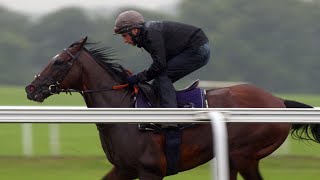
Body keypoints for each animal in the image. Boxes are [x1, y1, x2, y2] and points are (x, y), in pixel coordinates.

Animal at [25, 37, 320, 179]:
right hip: (233, 157)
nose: (31, 88)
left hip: (244, 155)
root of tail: (279, 101)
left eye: (59, 62)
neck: (124, 112)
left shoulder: (150, 171)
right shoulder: (124, 169)